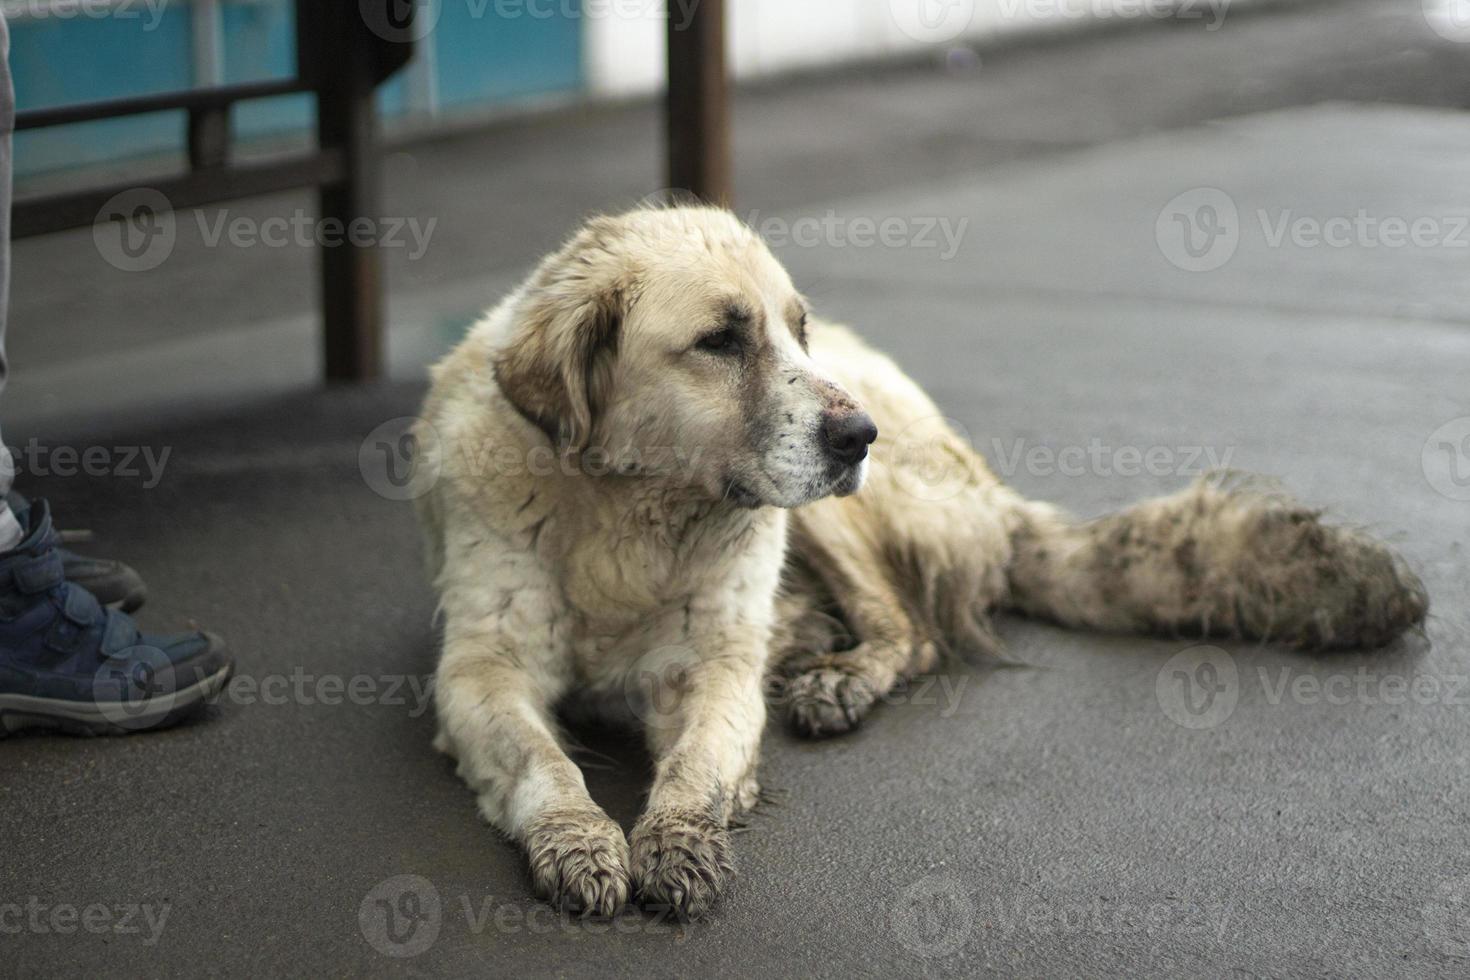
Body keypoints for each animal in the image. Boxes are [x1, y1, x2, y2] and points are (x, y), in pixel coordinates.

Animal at [414, 205, 1422, 922]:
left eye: (798, 332)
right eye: (721, 340)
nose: (858, 434)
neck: (627, 519)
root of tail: (993, 491)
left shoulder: (715, 667)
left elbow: (697, 762)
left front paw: (682, 836)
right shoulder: (480, 671)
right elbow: (544, 763)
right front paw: (582, 841)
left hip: (840, 519)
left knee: (912, 630)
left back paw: (839, 677)